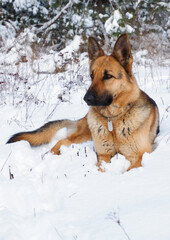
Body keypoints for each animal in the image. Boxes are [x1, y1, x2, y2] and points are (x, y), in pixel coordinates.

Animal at [6, 34, 159, 172]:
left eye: (108, 76)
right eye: (92, 76)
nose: (86, 99)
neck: (113, 120)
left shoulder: (139, 156)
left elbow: (129, 170)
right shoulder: (103, 155)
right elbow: (100, 169)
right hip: (85, 134)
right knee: (62, 141)